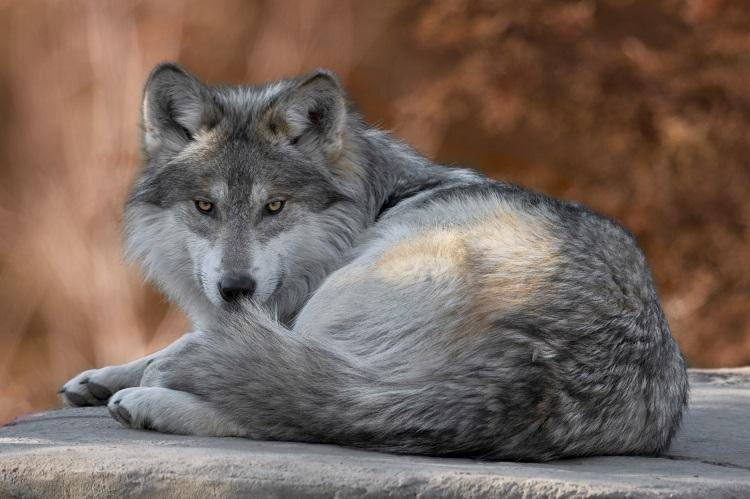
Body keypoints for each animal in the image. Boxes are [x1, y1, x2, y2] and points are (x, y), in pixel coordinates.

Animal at [61, 64, 692, 462]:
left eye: (275, 206)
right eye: (204, 206)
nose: (235, 288)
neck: (373, 202)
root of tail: (536, 375)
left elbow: (186, 349)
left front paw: (138, 376)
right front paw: (97, 377)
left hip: (351, 298)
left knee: (298, 415)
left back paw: (148, 402)